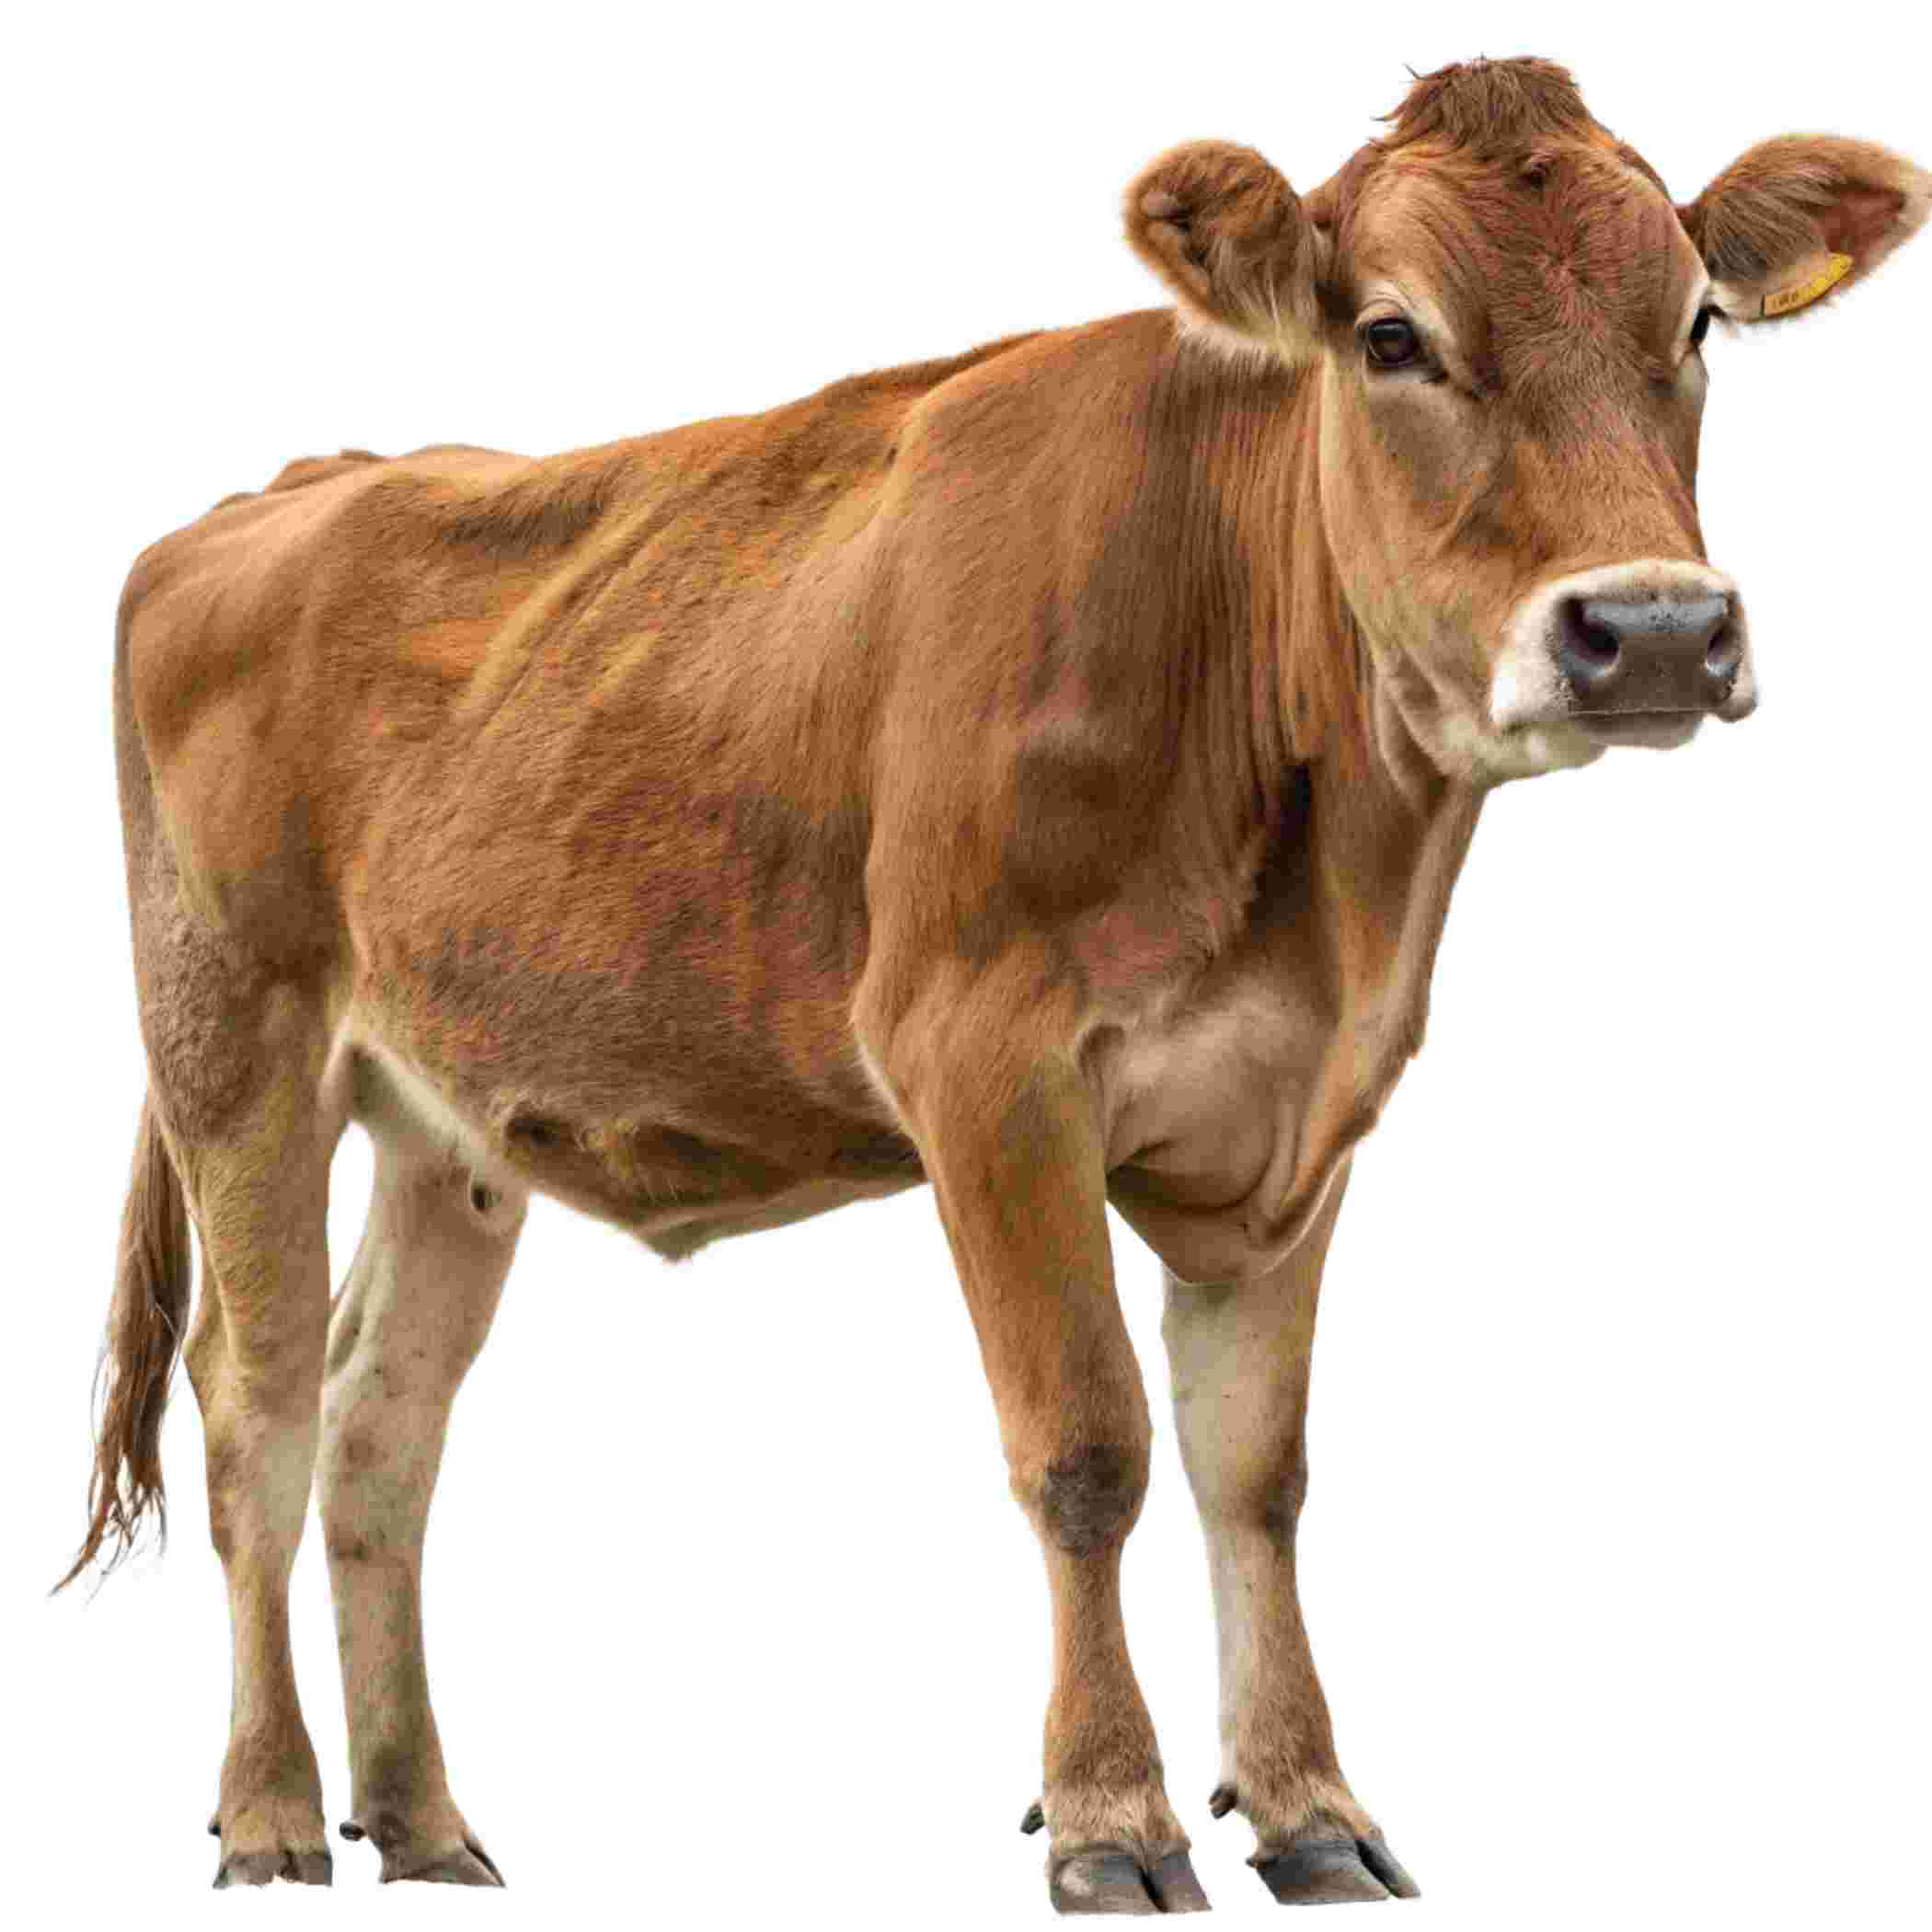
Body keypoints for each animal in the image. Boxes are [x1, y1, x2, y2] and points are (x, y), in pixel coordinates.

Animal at [61, 55, 1927, 1913]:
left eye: (1695, 319)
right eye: (1393, 335)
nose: (1658, 629)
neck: (1321, 879)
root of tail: (293, 484)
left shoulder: (1300, 1108)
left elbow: (1257, 1472)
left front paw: (1307, 1805)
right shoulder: (985, 1065)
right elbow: (1089, 1448)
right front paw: (1111, 1815)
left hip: (446, 1119)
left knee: (381, 1423)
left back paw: (424, 1822)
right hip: (236, 1044)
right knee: (256, 1413)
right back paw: (273, 1810)